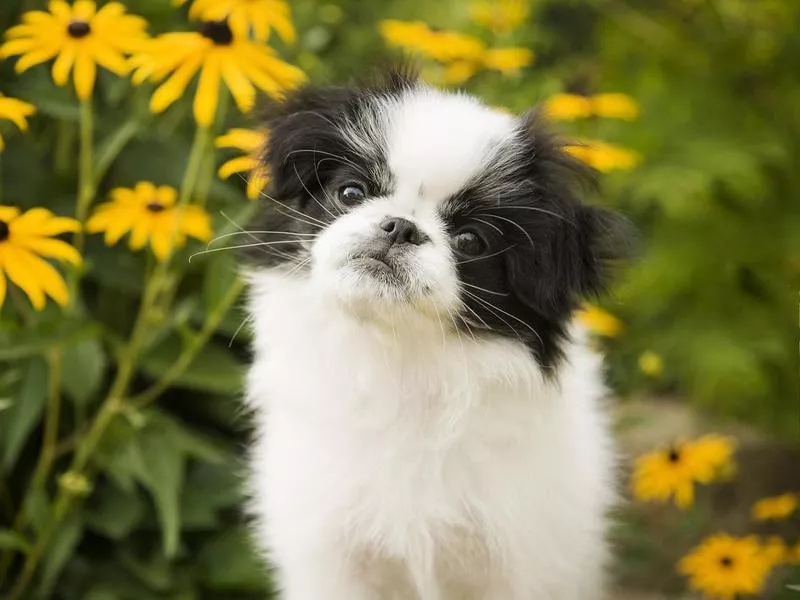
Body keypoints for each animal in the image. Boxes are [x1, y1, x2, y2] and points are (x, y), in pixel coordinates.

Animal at [241, 68, 628, 596]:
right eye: (350, 194)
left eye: (470, 240)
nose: (400, 227)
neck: (399, 359)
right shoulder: (331, 554)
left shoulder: (525, 560)